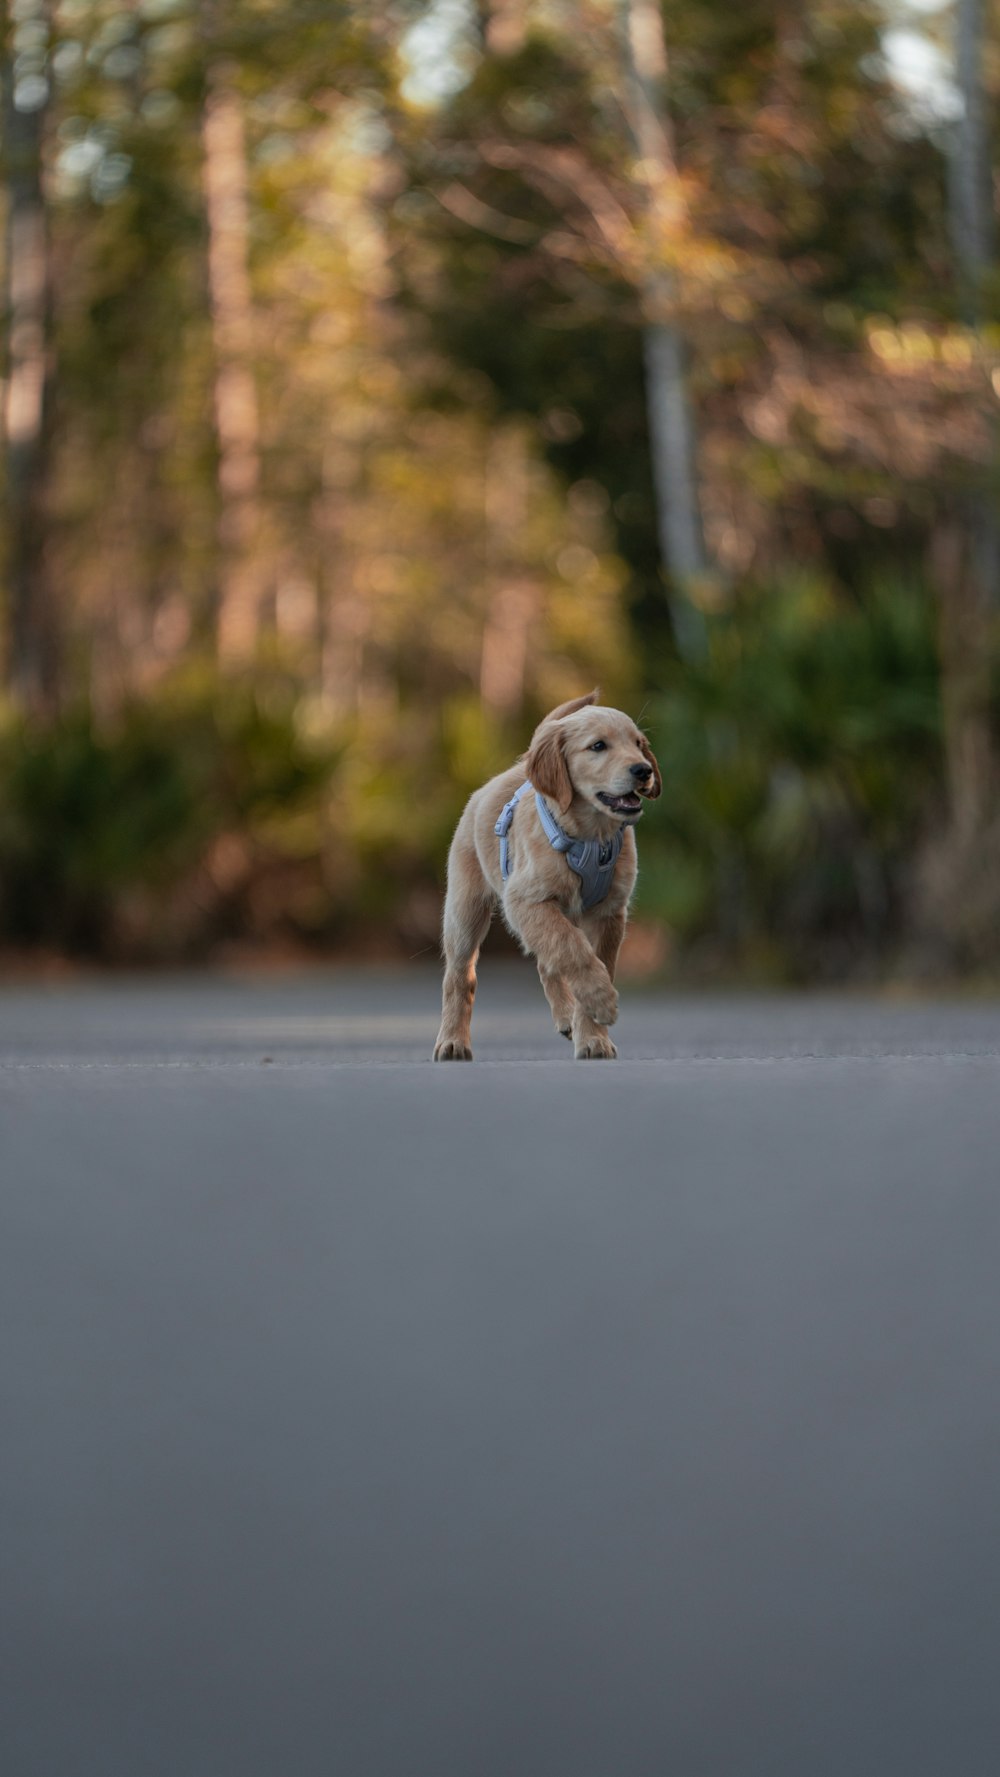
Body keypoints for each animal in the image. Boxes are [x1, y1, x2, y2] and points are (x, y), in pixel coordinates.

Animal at [429, 689, 657, 1051]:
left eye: (638, 743)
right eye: (598, 746)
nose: (644, 770)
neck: (591, 837)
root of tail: (518, 770)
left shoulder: (609, 912)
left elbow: (591, 958)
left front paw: (593, 1036)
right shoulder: (526, 900)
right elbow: (572, 949)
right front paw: (602, 1000)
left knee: (546, 962)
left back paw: (566, 1017)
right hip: (465, 911)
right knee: (460, 976)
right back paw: (452, 1041)